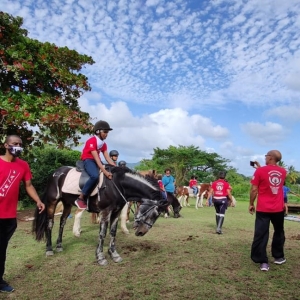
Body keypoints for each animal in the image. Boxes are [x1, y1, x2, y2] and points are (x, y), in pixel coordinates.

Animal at [33, 165, 169, 266]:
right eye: (155, 214)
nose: (141, 232)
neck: (118, 185)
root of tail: (56, 172)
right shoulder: (105, 212)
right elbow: (102, 234)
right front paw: (100, 257)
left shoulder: (116, 212)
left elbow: (113, 232)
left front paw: (114, 254)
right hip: (52, 202)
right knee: (50, 223)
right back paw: (49, 249)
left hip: (67, 203)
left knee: (62, 222)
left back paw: (59, 245)